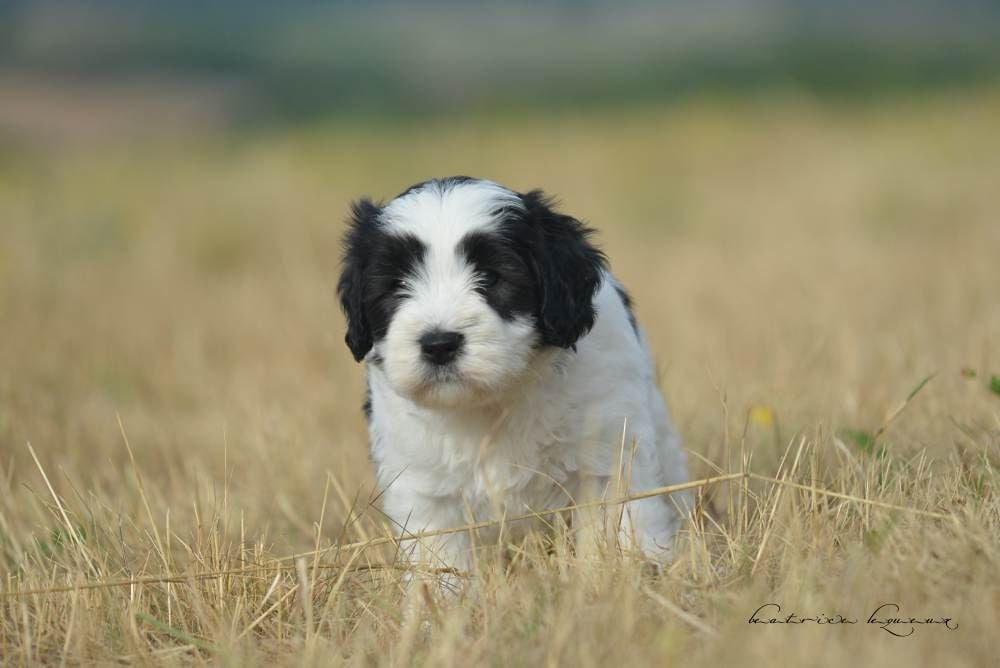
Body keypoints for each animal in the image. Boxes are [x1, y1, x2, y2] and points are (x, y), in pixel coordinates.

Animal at [336, 177, 688, 580]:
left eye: (491, 277)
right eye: (396, 285)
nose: (439, 344)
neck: (494, 402)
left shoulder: (607, 453)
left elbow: (618, 527)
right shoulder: (423, 488)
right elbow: (441, 565)